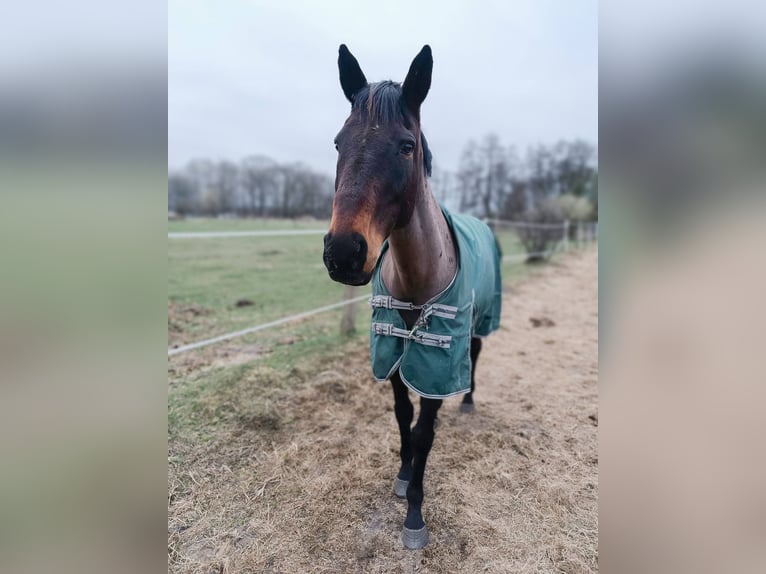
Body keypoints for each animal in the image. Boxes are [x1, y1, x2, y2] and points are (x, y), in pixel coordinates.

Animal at [322, 44, 502, 549]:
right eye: (339, 143)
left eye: (406, 145)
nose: (343, 252)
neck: (415, 279)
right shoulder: (394, 352)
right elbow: (404, 416)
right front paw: (403, 477)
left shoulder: (436, 358)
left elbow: (424, 432)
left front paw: (416, 515)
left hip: (478, 322)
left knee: (475, 354)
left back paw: (468, 401)